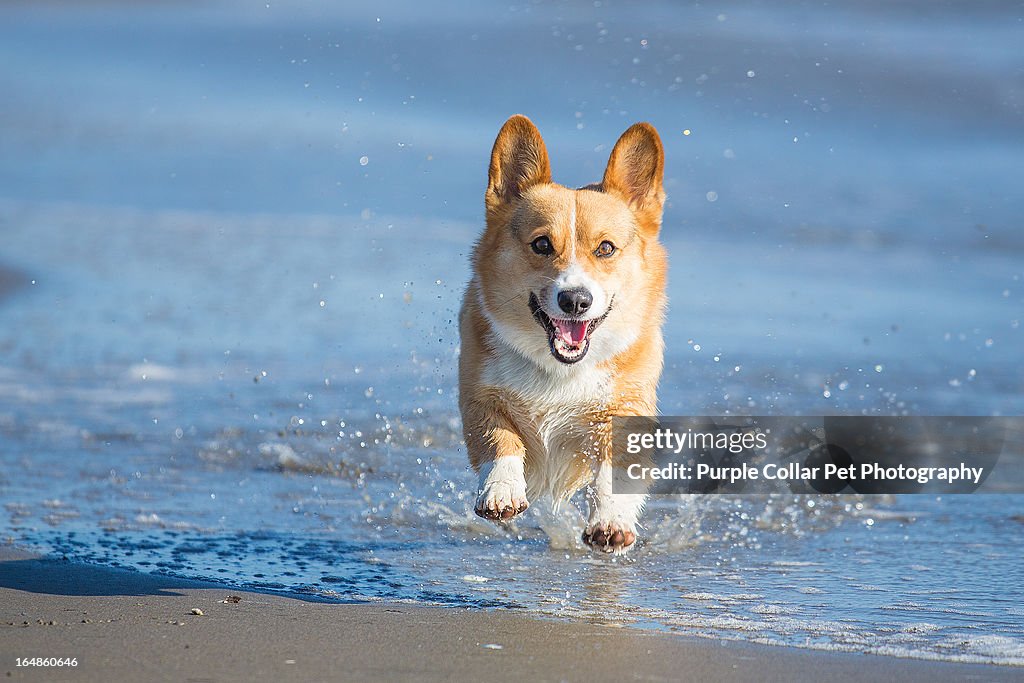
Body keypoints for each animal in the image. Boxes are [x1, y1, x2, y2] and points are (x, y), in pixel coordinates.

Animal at [460, 114, 667, 552]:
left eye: (605, 249)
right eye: (541, 244)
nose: (575, 300)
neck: (560, 370)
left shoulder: (626, 409)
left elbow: (615, 471)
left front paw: (611, 520)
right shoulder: (478, 395)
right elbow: (500, 440)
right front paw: (501, 490)